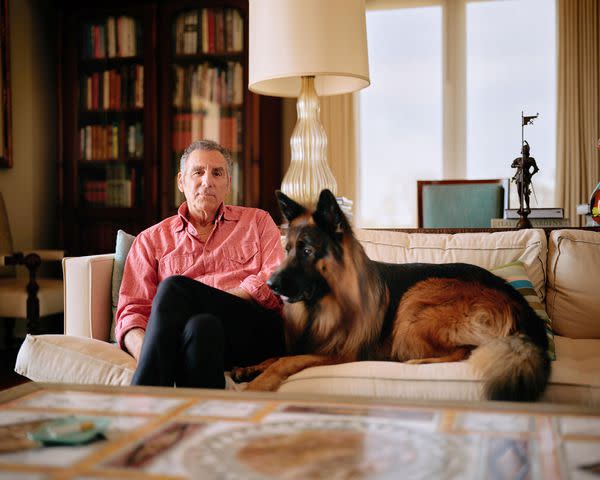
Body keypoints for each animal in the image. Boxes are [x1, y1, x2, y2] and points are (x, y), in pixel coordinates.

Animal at [232, 189, 552, 400]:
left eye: (308, 251)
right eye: (287, 250)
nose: (269, 284)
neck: (324, 303)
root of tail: (521, 305)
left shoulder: (339, 354)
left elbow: (285, 361)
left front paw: (258, 384)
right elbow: (278, 355)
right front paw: (251, 367)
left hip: (418, 299)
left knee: (466, 350)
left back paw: (418, 363)